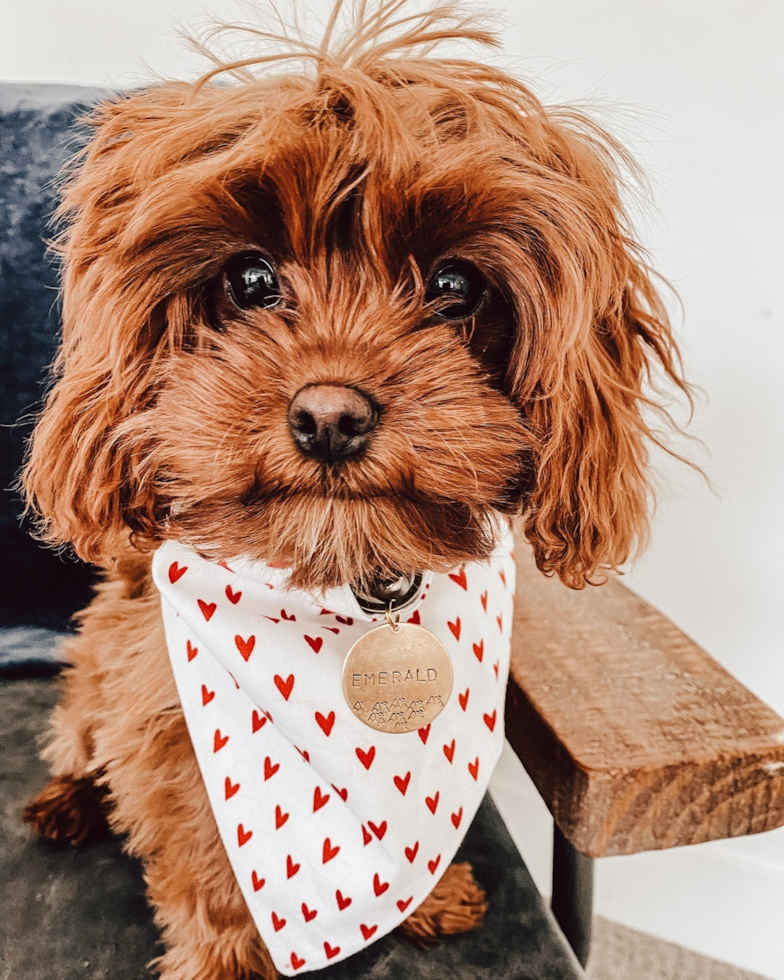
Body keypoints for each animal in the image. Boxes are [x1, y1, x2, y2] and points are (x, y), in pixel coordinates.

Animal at [21, 3, 688, 976]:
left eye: (454, 283)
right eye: (250, 278)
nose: (330, 416)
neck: (341, 579)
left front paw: (431, 897)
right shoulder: (165, 724)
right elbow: (204, 867)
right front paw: (224, 961)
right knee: (77, 738)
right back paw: (65, 802)